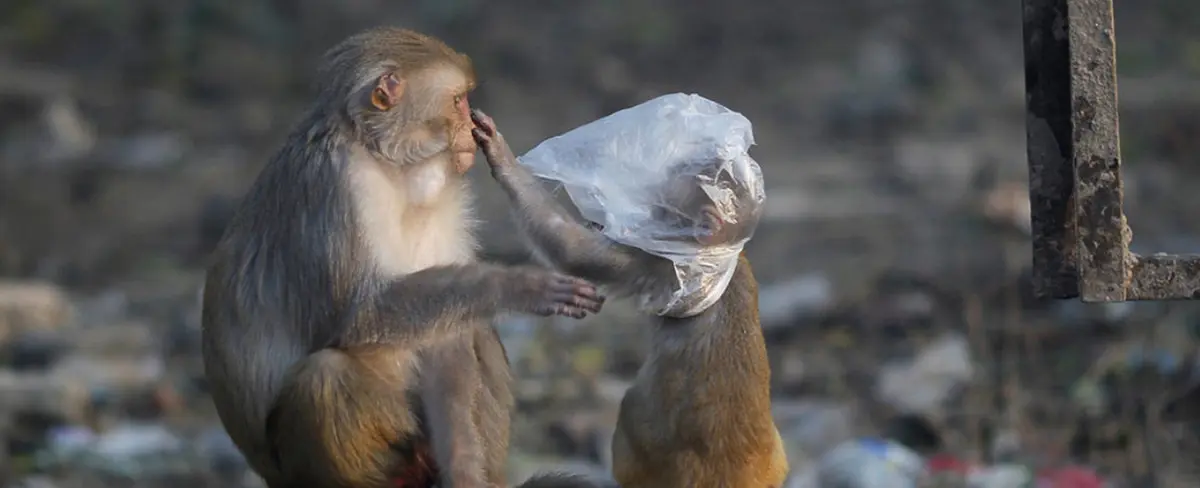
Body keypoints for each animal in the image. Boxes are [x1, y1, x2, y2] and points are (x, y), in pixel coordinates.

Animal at [201, 27, 609, 488]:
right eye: (457, 100)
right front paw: (520, 286)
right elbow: (360, 316)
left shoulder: (445, 194)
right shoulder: (337, 186)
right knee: (323, 378)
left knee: (472, 330)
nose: (470, 128)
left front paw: (465, 472)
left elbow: (446, 338)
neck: (390, 164)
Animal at [472, 110, 790, 488]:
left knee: (630, 411)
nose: (650, 207)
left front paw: (501, 158)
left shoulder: (654, 261)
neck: (717, 254)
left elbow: (571, 249)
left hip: (650, 457)